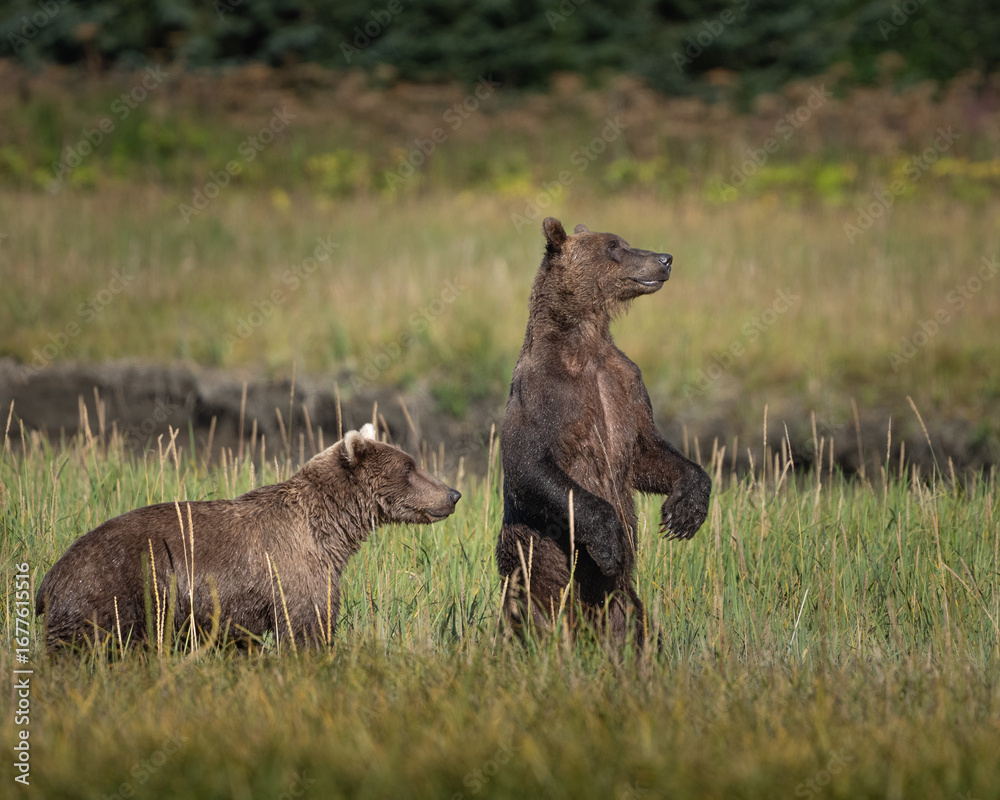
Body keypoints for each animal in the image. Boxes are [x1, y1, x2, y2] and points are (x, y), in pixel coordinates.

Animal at [36, 424, 460, 650]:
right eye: (410, 467)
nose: (453, 494)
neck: (332, 532)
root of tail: (50, 576)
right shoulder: (292, 571)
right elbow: (306, 627)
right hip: (109, 595)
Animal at [497, 218, 711, 648]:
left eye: (623, 241)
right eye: (613, 247)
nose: (665, 258)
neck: (585, 344)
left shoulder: (625, 384)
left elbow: (646, 451)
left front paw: (684, 512)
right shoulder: (540, 392)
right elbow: (528, 463)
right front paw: (610, 542)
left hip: (622, 602)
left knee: (636, 623)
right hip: (534, 579)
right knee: (528, 617)